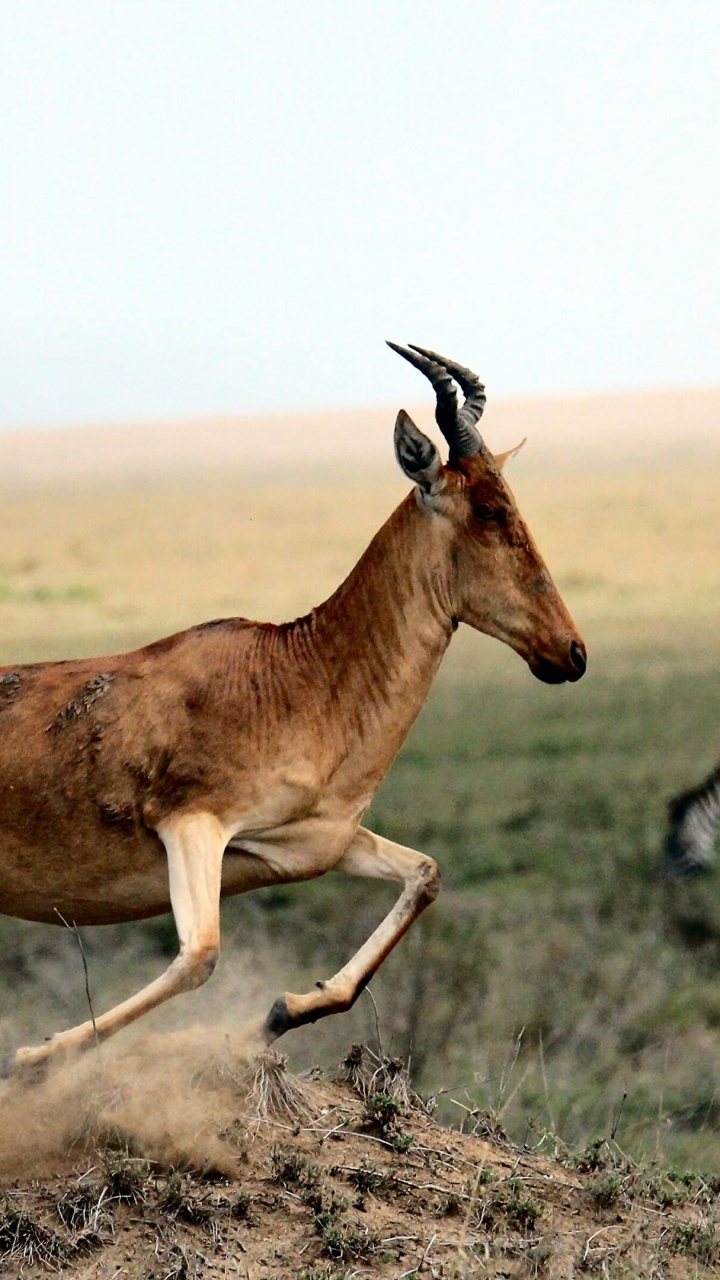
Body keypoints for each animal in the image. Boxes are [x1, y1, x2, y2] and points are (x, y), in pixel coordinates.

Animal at [0, 344, 586, 1075]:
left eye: (510, 501)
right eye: (486, 510)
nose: (570, 652)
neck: (292, 674)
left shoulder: (319, 842)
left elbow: (425, 875)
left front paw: (279, 1013)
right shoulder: (191, 824)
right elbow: (200, 955)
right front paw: (35, 1055)